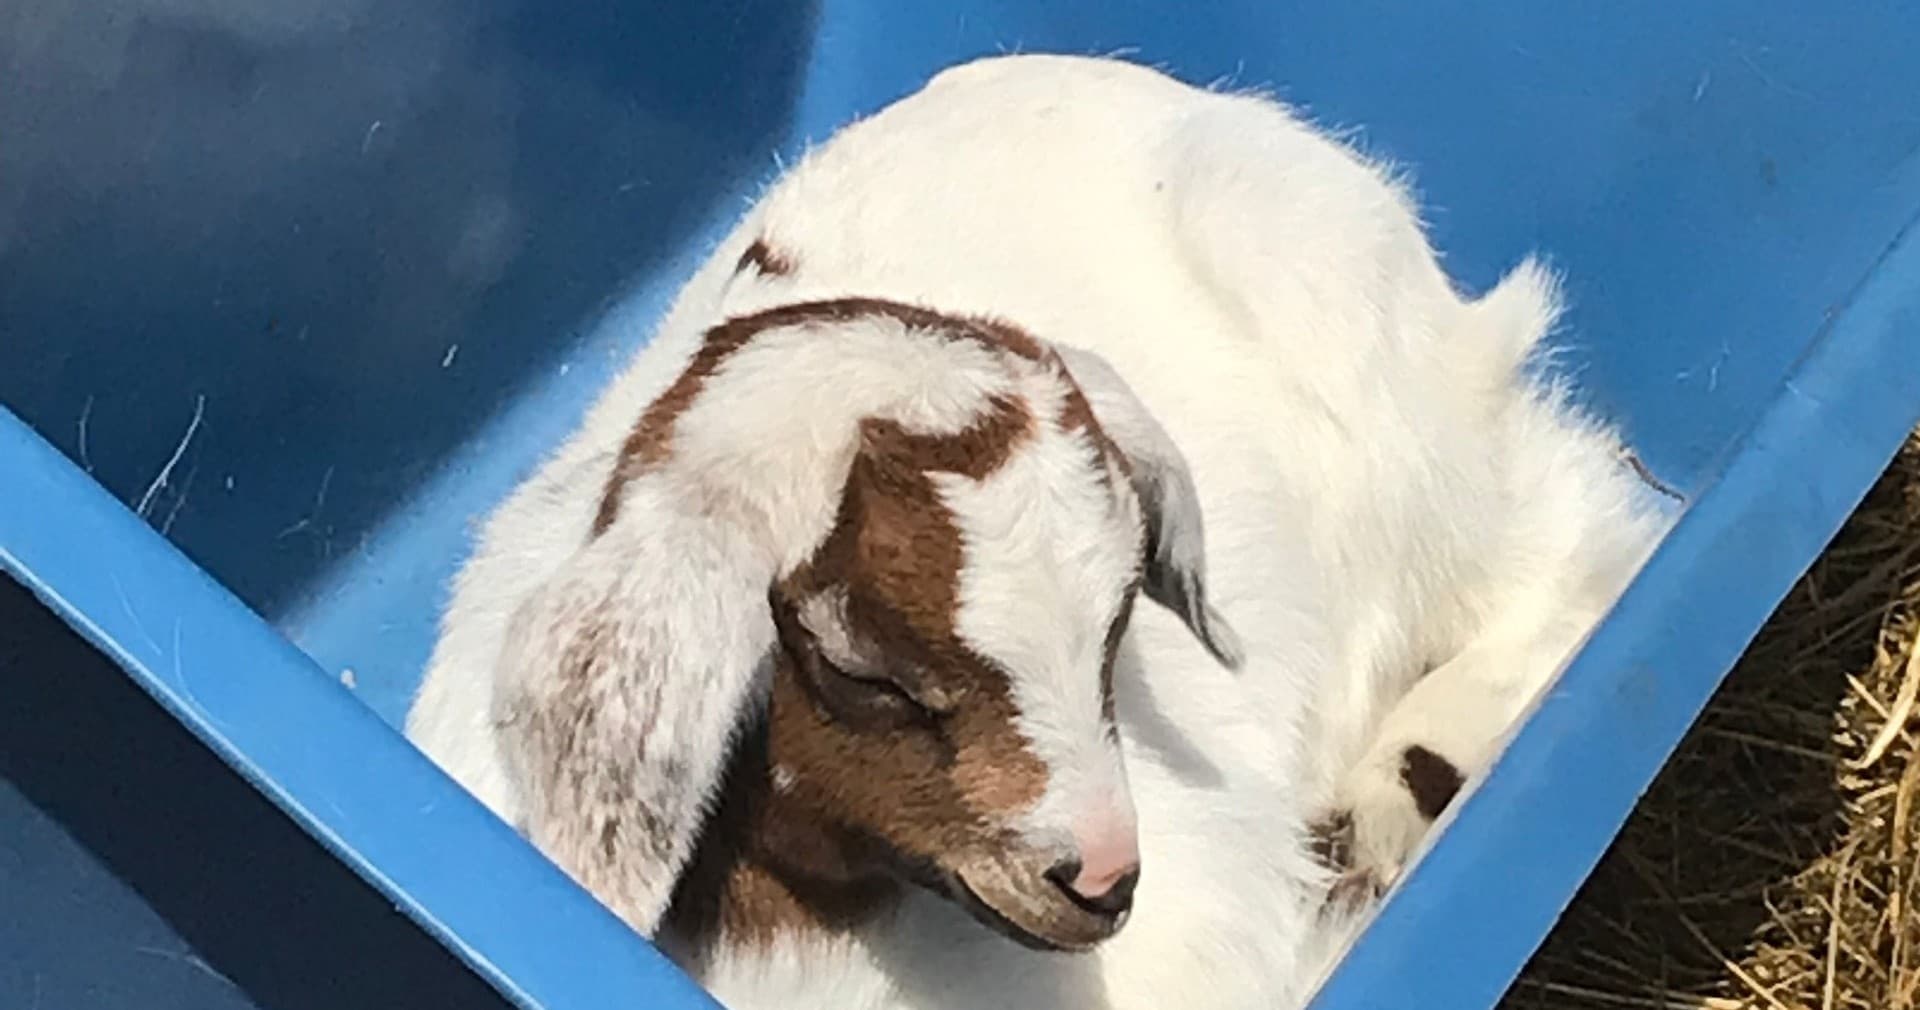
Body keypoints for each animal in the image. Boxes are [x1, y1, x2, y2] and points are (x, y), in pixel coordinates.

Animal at [406, 52, 1675, 1009]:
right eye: (861, 667)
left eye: (1118, 621)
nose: (1106, 876)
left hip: (1385, 395)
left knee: (1572, 522)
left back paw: (1391, 796)